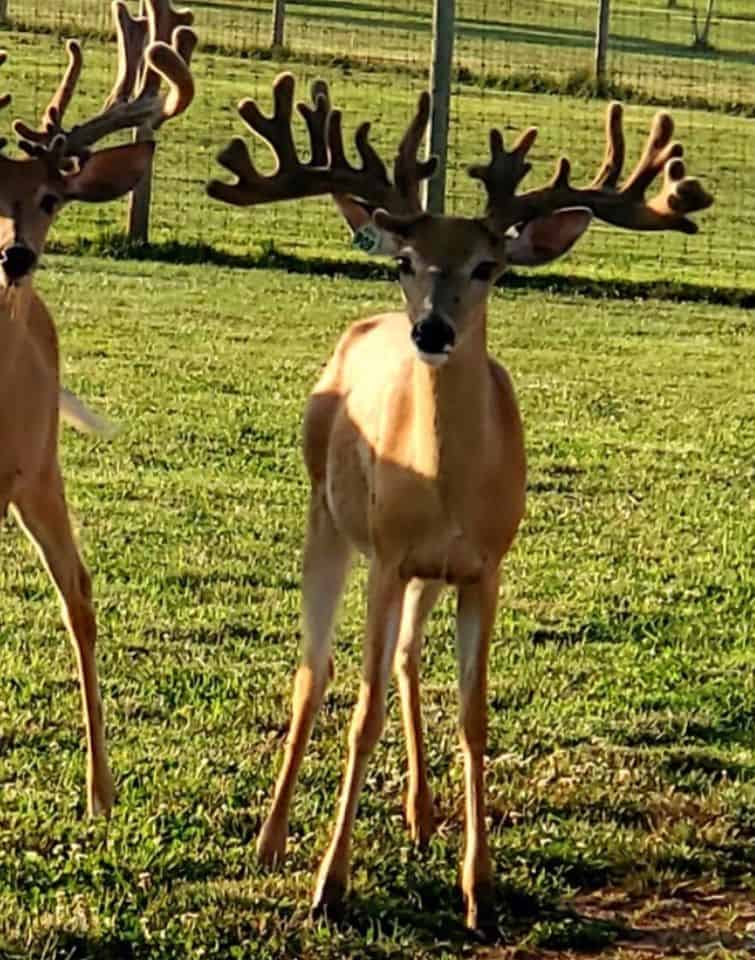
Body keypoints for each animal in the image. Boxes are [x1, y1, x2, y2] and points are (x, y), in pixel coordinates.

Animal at [208, 74, 713, 930]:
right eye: (408, 260)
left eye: (487, 266)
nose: (433, 331)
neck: (443, 483)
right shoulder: (386, 556)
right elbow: (363, 714)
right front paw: (329, 885)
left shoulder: (485, 565)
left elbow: (474, 717)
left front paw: (478, 888)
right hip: (327, 518)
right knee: (314, 669)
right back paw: (271, 842)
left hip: (423, 572)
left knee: (408, 659)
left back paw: (420, 817)